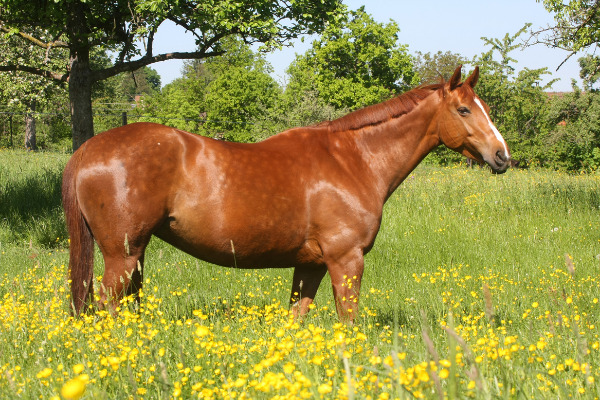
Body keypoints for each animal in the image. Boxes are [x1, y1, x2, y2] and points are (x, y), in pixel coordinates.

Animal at [61, 65, 510, 322]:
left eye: (485, 108)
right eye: (464, 110)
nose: (502, 156)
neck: (354, 160)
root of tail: (89, 149)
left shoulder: (310, 265)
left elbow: (297, 319)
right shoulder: (346, 261)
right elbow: (348, 322)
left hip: (135, 254)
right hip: (122, 255)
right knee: (107, 306)